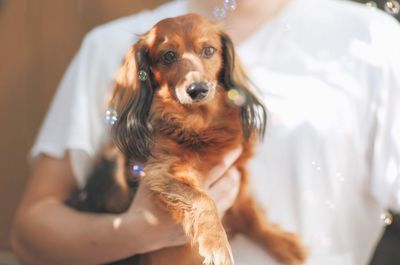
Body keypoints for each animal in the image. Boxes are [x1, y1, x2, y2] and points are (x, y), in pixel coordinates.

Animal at [67, 13, 308, 264]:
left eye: (209, 50)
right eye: (168, 55)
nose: (197, 89)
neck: (199, 125)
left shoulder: (236, 173)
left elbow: (251, 213)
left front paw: (284, 243)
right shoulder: (164, 171)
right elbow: (203, 199)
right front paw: (217, 243)